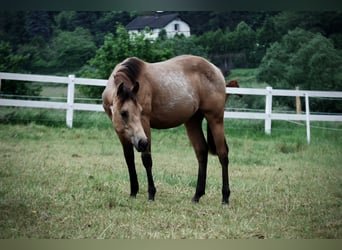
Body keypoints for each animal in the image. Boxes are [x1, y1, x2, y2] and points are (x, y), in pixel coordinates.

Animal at [101, 54, 230, 203]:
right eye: (123, 113)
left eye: (140, 111)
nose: (142, 142)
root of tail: (216, 70)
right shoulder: (120, 131)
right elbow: (129, 159)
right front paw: (133, 192)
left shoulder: (145, 123)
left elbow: (147, 159)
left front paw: (151, 194)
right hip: (192, 121)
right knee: (202, 152)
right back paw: (197, 195)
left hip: (215, 119)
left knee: (223, 154)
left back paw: (225, 197)